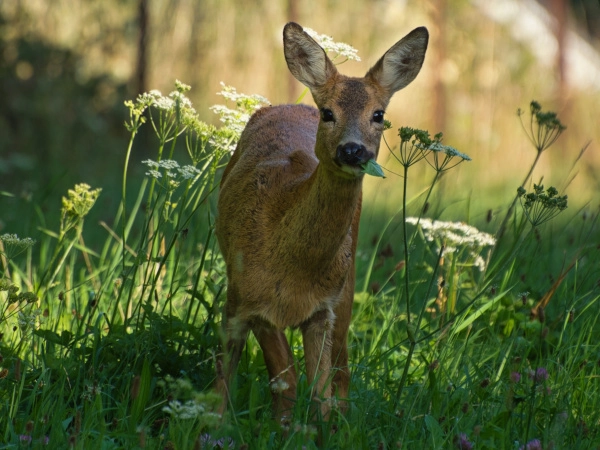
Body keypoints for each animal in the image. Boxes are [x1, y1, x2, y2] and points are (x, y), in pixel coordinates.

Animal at [216, 22, 426, 422]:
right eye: (328, 112)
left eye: (379, 115)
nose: (353, 150)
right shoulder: (254, 300)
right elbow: (286, 382)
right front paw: (283, 427)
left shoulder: (322, 310)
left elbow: (319, 392)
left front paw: (315, 428)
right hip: (236, 293)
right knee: (229, 354)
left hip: (347, 284)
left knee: (343, 368)